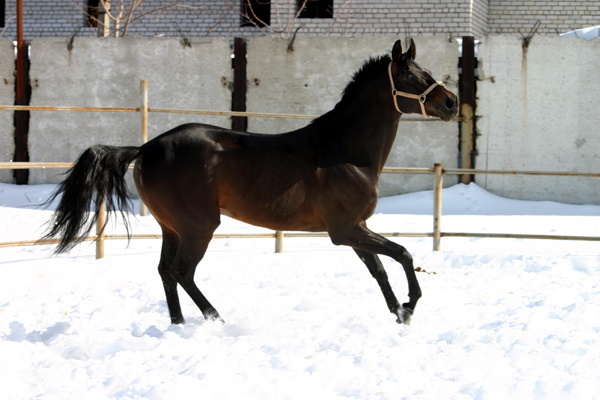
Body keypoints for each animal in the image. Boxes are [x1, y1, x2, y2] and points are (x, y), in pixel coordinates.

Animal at [43, 39, 454, 324]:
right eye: (411, 76)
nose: (451, 102)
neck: (344, 151)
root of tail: (144, 148)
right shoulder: (346, 229)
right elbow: (402, 254)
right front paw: (409, 306)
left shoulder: (356, 228)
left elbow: (380, 269)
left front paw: (399, 314)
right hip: (199, 226)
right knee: (182, 272)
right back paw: (216, 319)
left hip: (170, 227)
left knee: (165, 272)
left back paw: (178, 324)